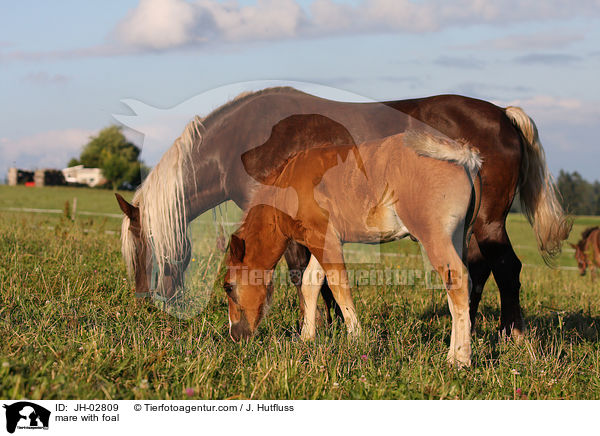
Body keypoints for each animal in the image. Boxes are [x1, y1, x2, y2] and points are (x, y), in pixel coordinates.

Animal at [115, 87, 568, 336]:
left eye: (144, 248)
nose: (149, 302)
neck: (244, 142)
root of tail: (503, 115)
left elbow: (304, 276)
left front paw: (320, 327)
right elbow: (317, 279)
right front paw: (327, 327)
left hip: (488, 222)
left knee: (504, 269)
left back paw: (510, 336)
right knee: (477, 271)